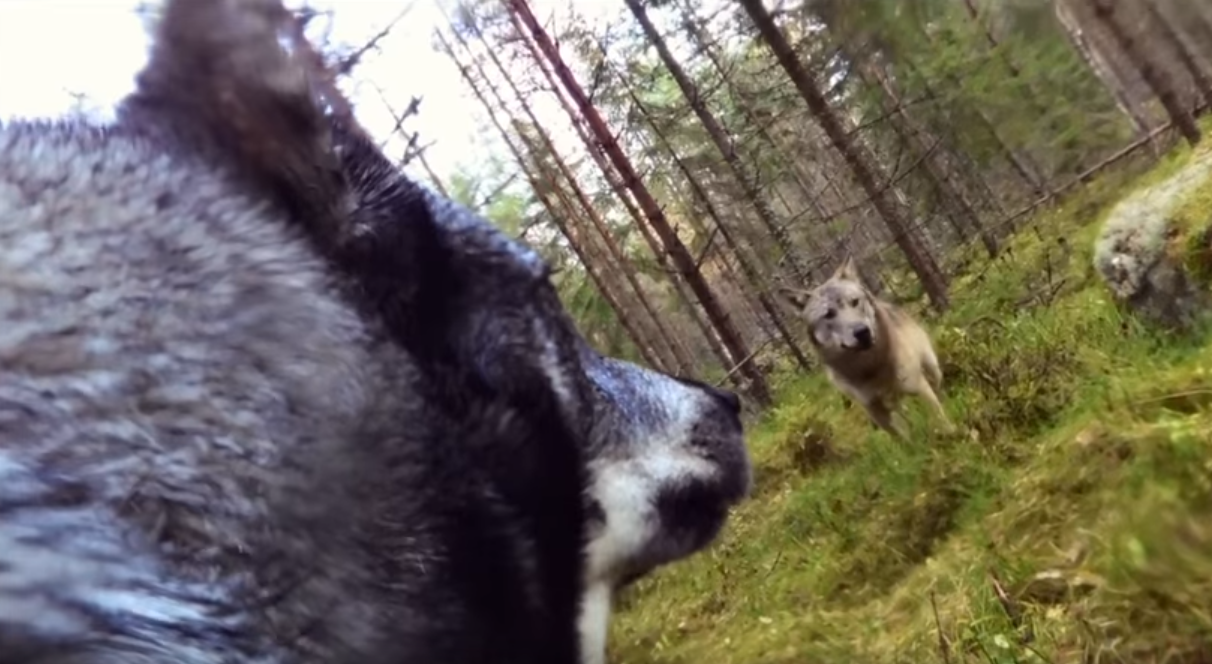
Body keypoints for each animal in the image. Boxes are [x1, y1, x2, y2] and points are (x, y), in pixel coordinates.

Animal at [785, 256, 955, 438]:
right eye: (829, 314)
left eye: (854, 302)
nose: (862, 331)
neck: (869, 367)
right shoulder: (874, 409)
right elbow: (901, 439)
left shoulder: (918, 387)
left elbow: (941, 420)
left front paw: (951, 435)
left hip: (932, 370)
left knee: (938, 391)